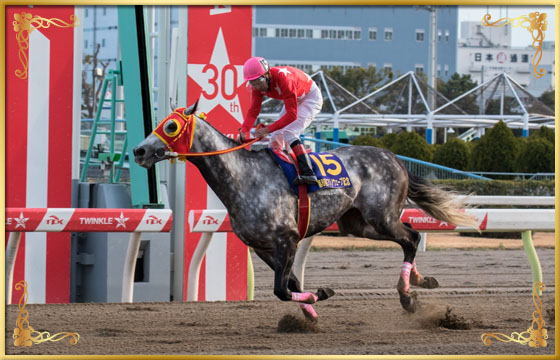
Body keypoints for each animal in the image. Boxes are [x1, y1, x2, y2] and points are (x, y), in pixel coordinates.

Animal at [132, 102, 476, 322]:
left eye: (171, 126)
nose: (139, 150)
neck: (244, 177)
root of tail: (395, 158)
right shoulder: (262, 246)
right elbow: (292, 284)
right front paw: (310, 310)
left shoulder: (288, 238)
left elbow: (282, 289)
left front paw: (317, 297)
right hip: (358, 224)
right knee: (411, 237)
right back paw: (419, 282)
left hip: (381, 217)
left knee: (411, 238)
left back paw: (407, 295)